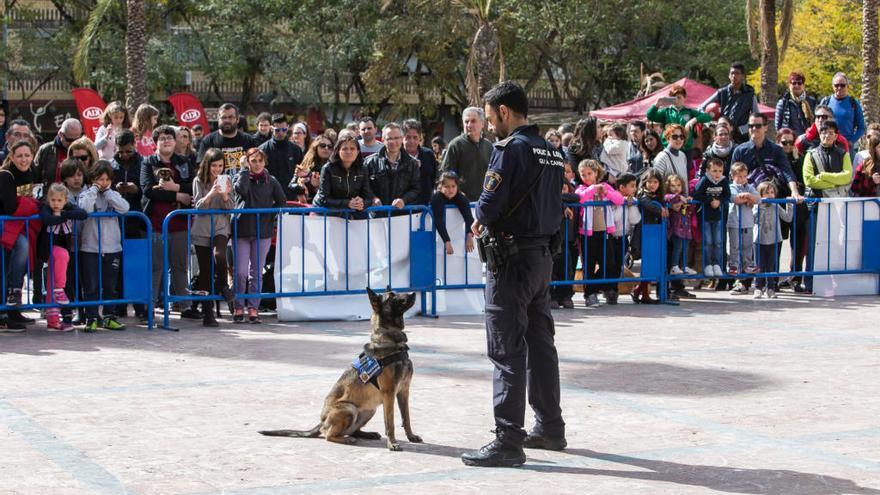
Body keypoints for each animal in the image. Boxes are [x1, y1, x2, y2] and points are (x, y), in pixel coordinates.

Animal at [258, 288, 422, 452]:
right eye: (392, 296)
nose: (413, 293)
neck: (392, 342)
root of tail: (322, 421)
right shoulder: (389, 393)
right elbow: (390, 422)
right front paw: (392, 443)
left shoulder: (403, 391)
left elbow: (406, 418)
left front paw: (411, 436)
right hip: (349, 409)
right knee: (328, 435)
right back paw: (346, 439)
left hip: (370, 410)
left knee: (353, 430)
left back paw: (366, 434)